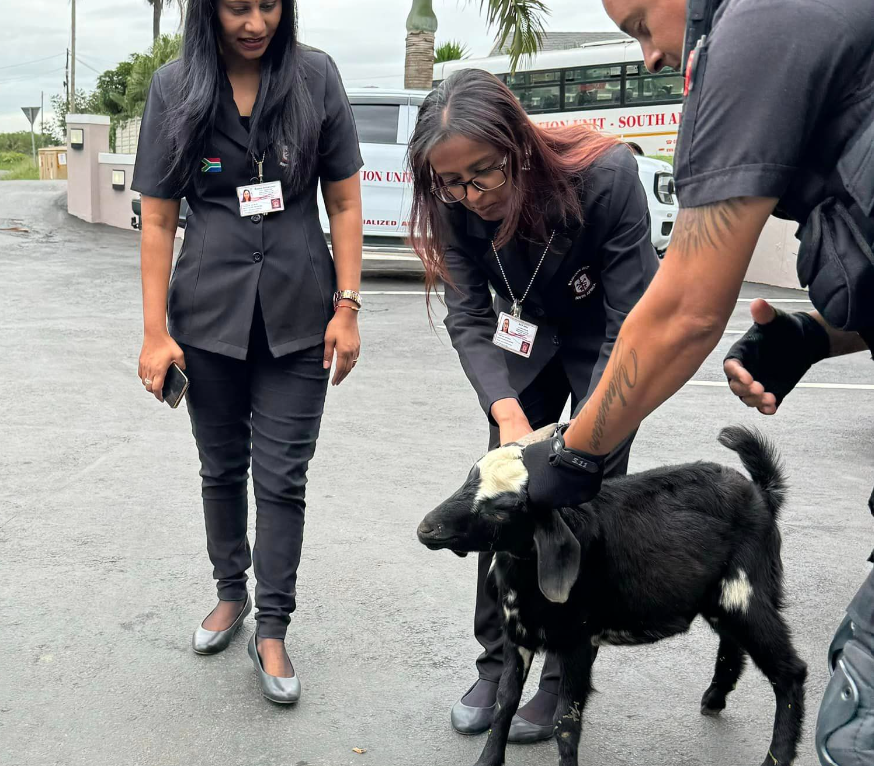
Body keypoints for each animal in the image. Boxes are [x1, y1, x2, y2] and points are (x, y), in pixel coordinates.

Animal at [418, 426, 808, 766]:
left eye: (502, 508)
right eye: (469, 477)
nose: (426, 529)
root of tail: (762, 493)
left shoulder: (578, 640)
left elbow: (566, 720)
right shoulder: (518, 635)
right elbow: (504, 703)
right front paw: (487, 761)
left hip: (746, 591)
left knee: (790, 671)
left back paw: (777, 756)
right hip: (722, 598)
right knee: (733, 641)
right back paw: (714, 698)